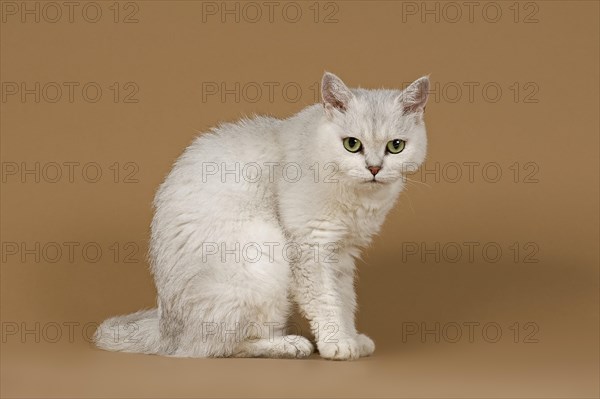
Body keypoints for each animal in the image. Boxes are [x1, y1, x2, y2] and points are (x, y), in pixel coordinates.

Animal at [94, 72, 428, 362]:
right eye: (352, 144)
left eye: (395, 146)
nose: (374, 168)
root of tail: (166, 330)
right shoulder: (311, 248)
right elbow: (326, 302)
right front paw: (338, 344)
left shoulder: (342, 254)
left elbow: (345, 302)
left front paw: (352, 338)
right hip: (265, 257)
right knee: (218, 347)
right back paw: (290, 345)